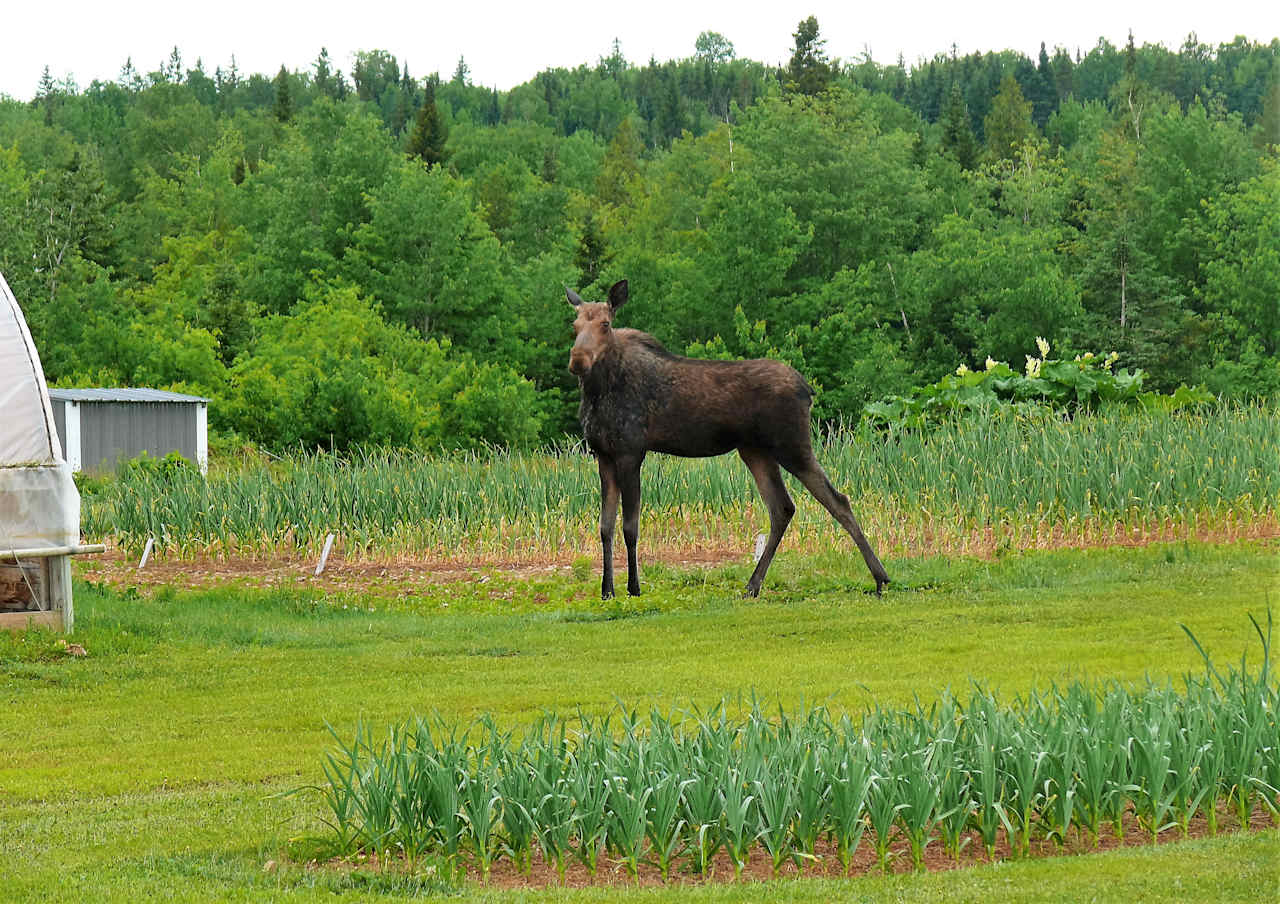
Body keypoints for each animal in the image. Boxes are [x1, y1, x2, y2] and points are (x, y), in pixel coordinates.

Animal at [570, 277, 890, 594]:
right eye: (574, 325)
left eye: (605, 324)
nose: (577, 361)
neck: (598, 391)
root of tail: (807, 390)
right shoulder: (603, 454)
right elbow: (605, 527)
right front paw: (607, 590)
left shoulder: (631, 452)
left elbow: (629, 526)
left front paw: (634, 588)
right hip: (756, 451)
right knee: (783, 508)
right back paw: (753, 584)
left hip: (792, 446)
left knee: (837, 500)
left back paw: (880, 577)